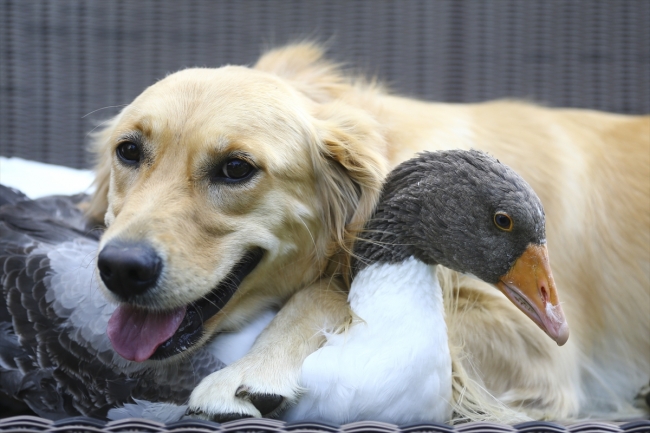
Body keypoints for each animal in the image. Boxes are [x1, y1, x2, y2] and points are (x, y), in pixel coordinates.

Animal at [87, 42, 648, 420]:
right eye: (128, 151)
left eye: (236, 169)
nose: (122, 268)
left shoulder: (535, 345)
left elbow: (326, 292)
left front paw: (253, 370)